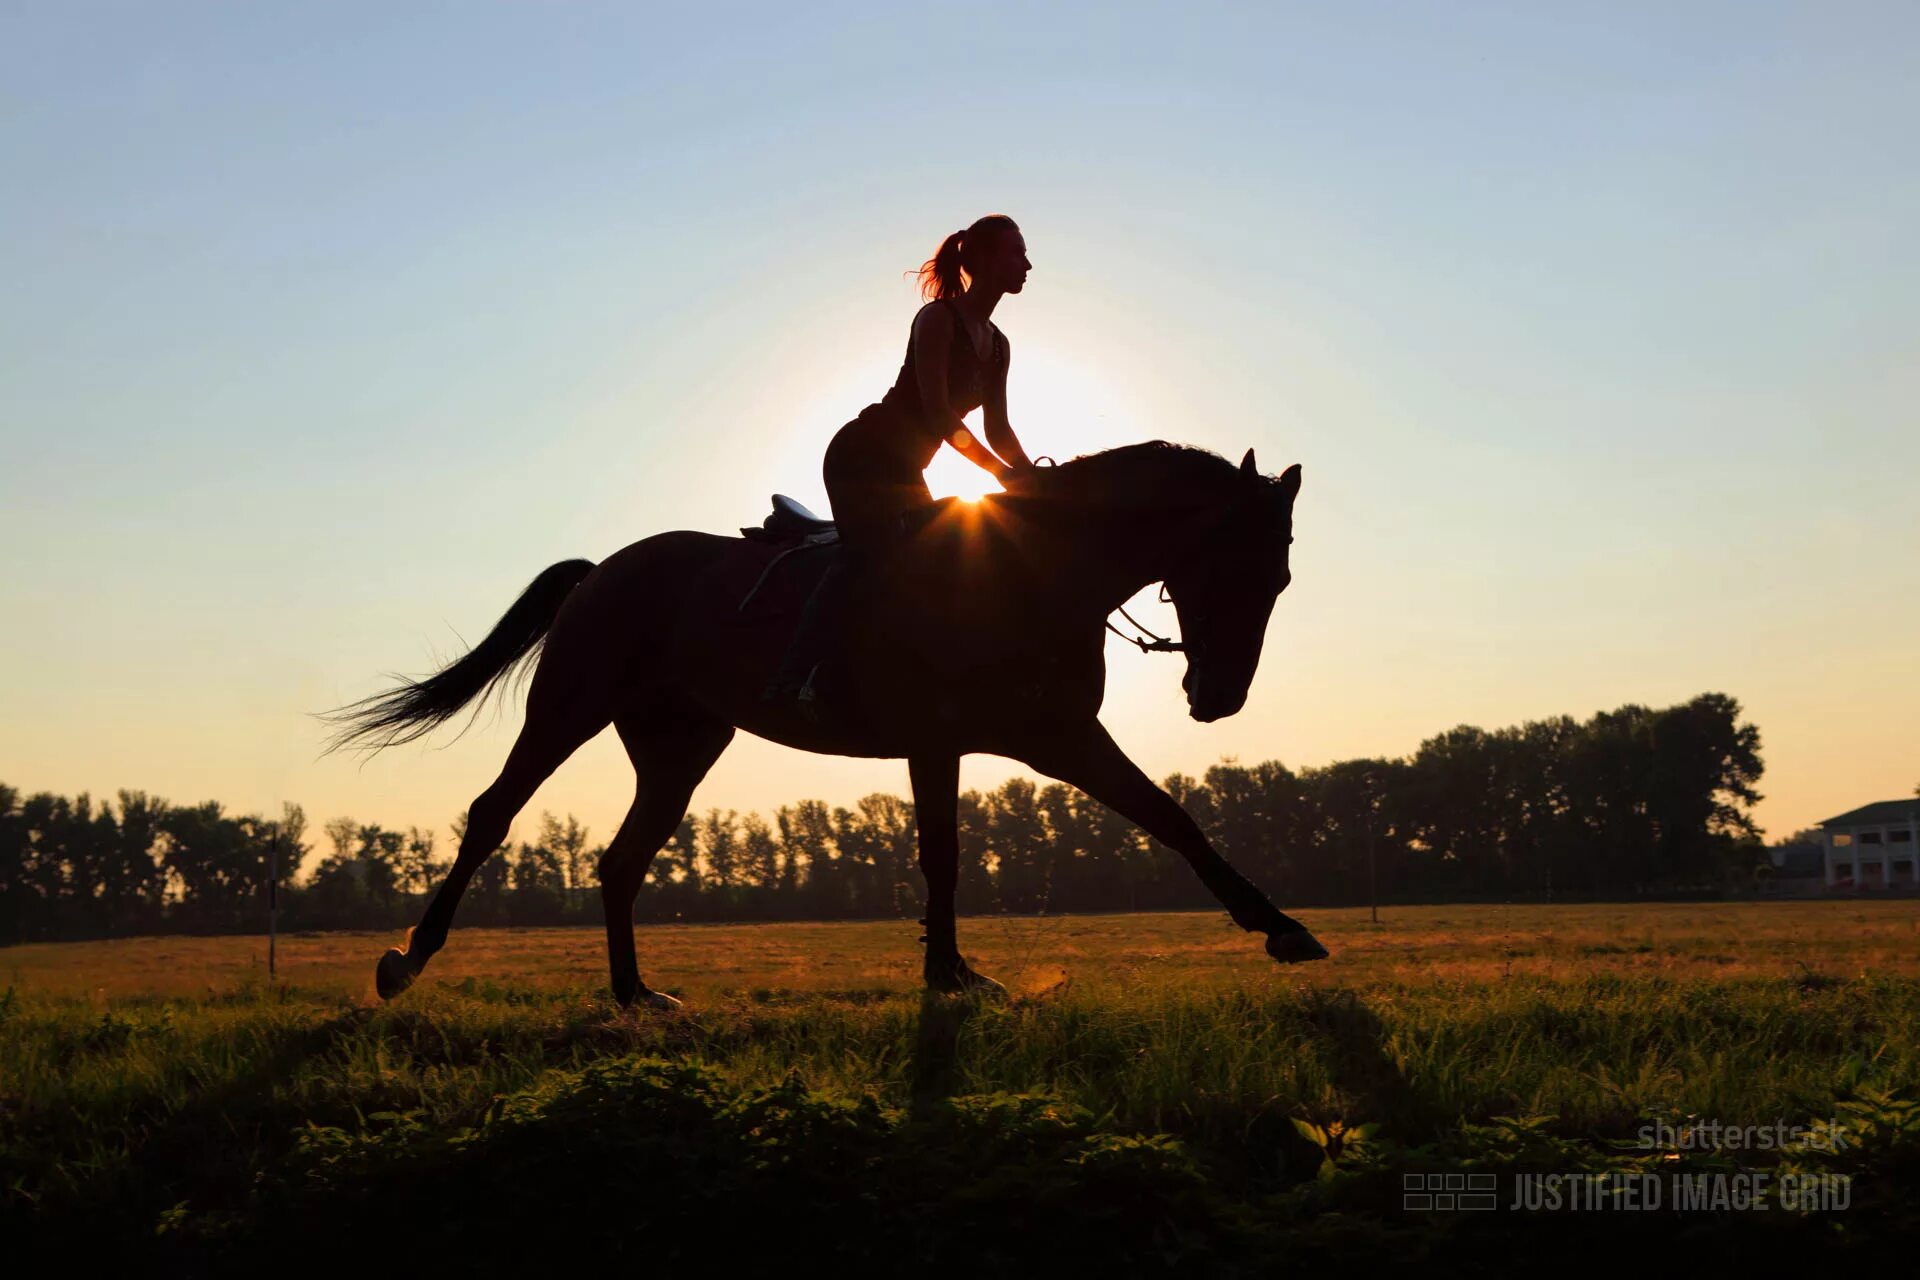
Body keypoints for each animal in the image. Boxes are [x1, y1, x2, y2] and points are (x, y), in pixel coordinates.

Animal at [322, 441, 1328, 1013]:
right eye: (1242, 570)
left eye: (1281, 580)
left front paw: (951, 974)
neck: (1036, 567)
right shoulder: (1032, 738)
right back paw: (407, 962)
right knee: (492, 816)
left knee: (620, 861)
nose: (1218, 696)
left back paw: (634, 994)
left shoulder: (1003, 739)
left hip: (681, 747)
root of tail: (605, 567)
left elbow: (1147, 823)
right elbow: (1147, 820)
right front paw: (1282, 928)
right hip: (569, 707)